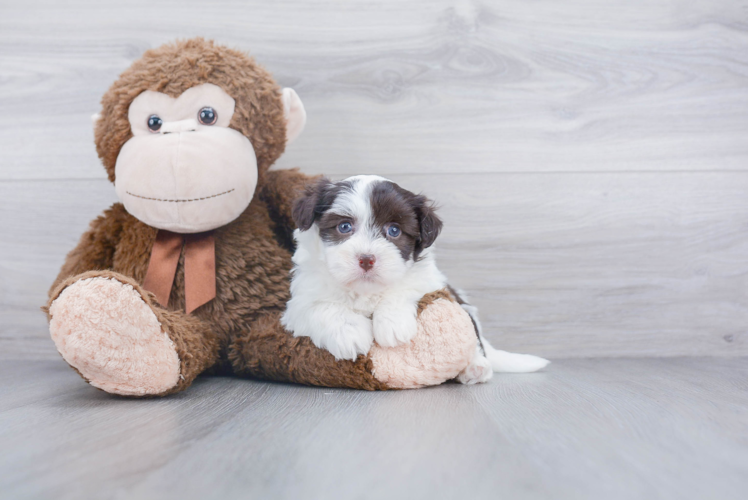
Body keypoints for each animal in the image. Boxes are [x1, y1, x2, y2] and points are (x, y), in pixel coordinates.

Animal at [282, 176, 548, 382]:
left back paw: (475, 367)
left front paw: (392, 324)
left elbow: (405, 287)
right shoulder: (299, 303)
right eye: (344, 226)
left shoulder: (430, 280)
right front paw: (349, 334)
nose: (367, 259)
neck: (366, 290)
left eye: (394, 231)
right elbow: (322, 306)